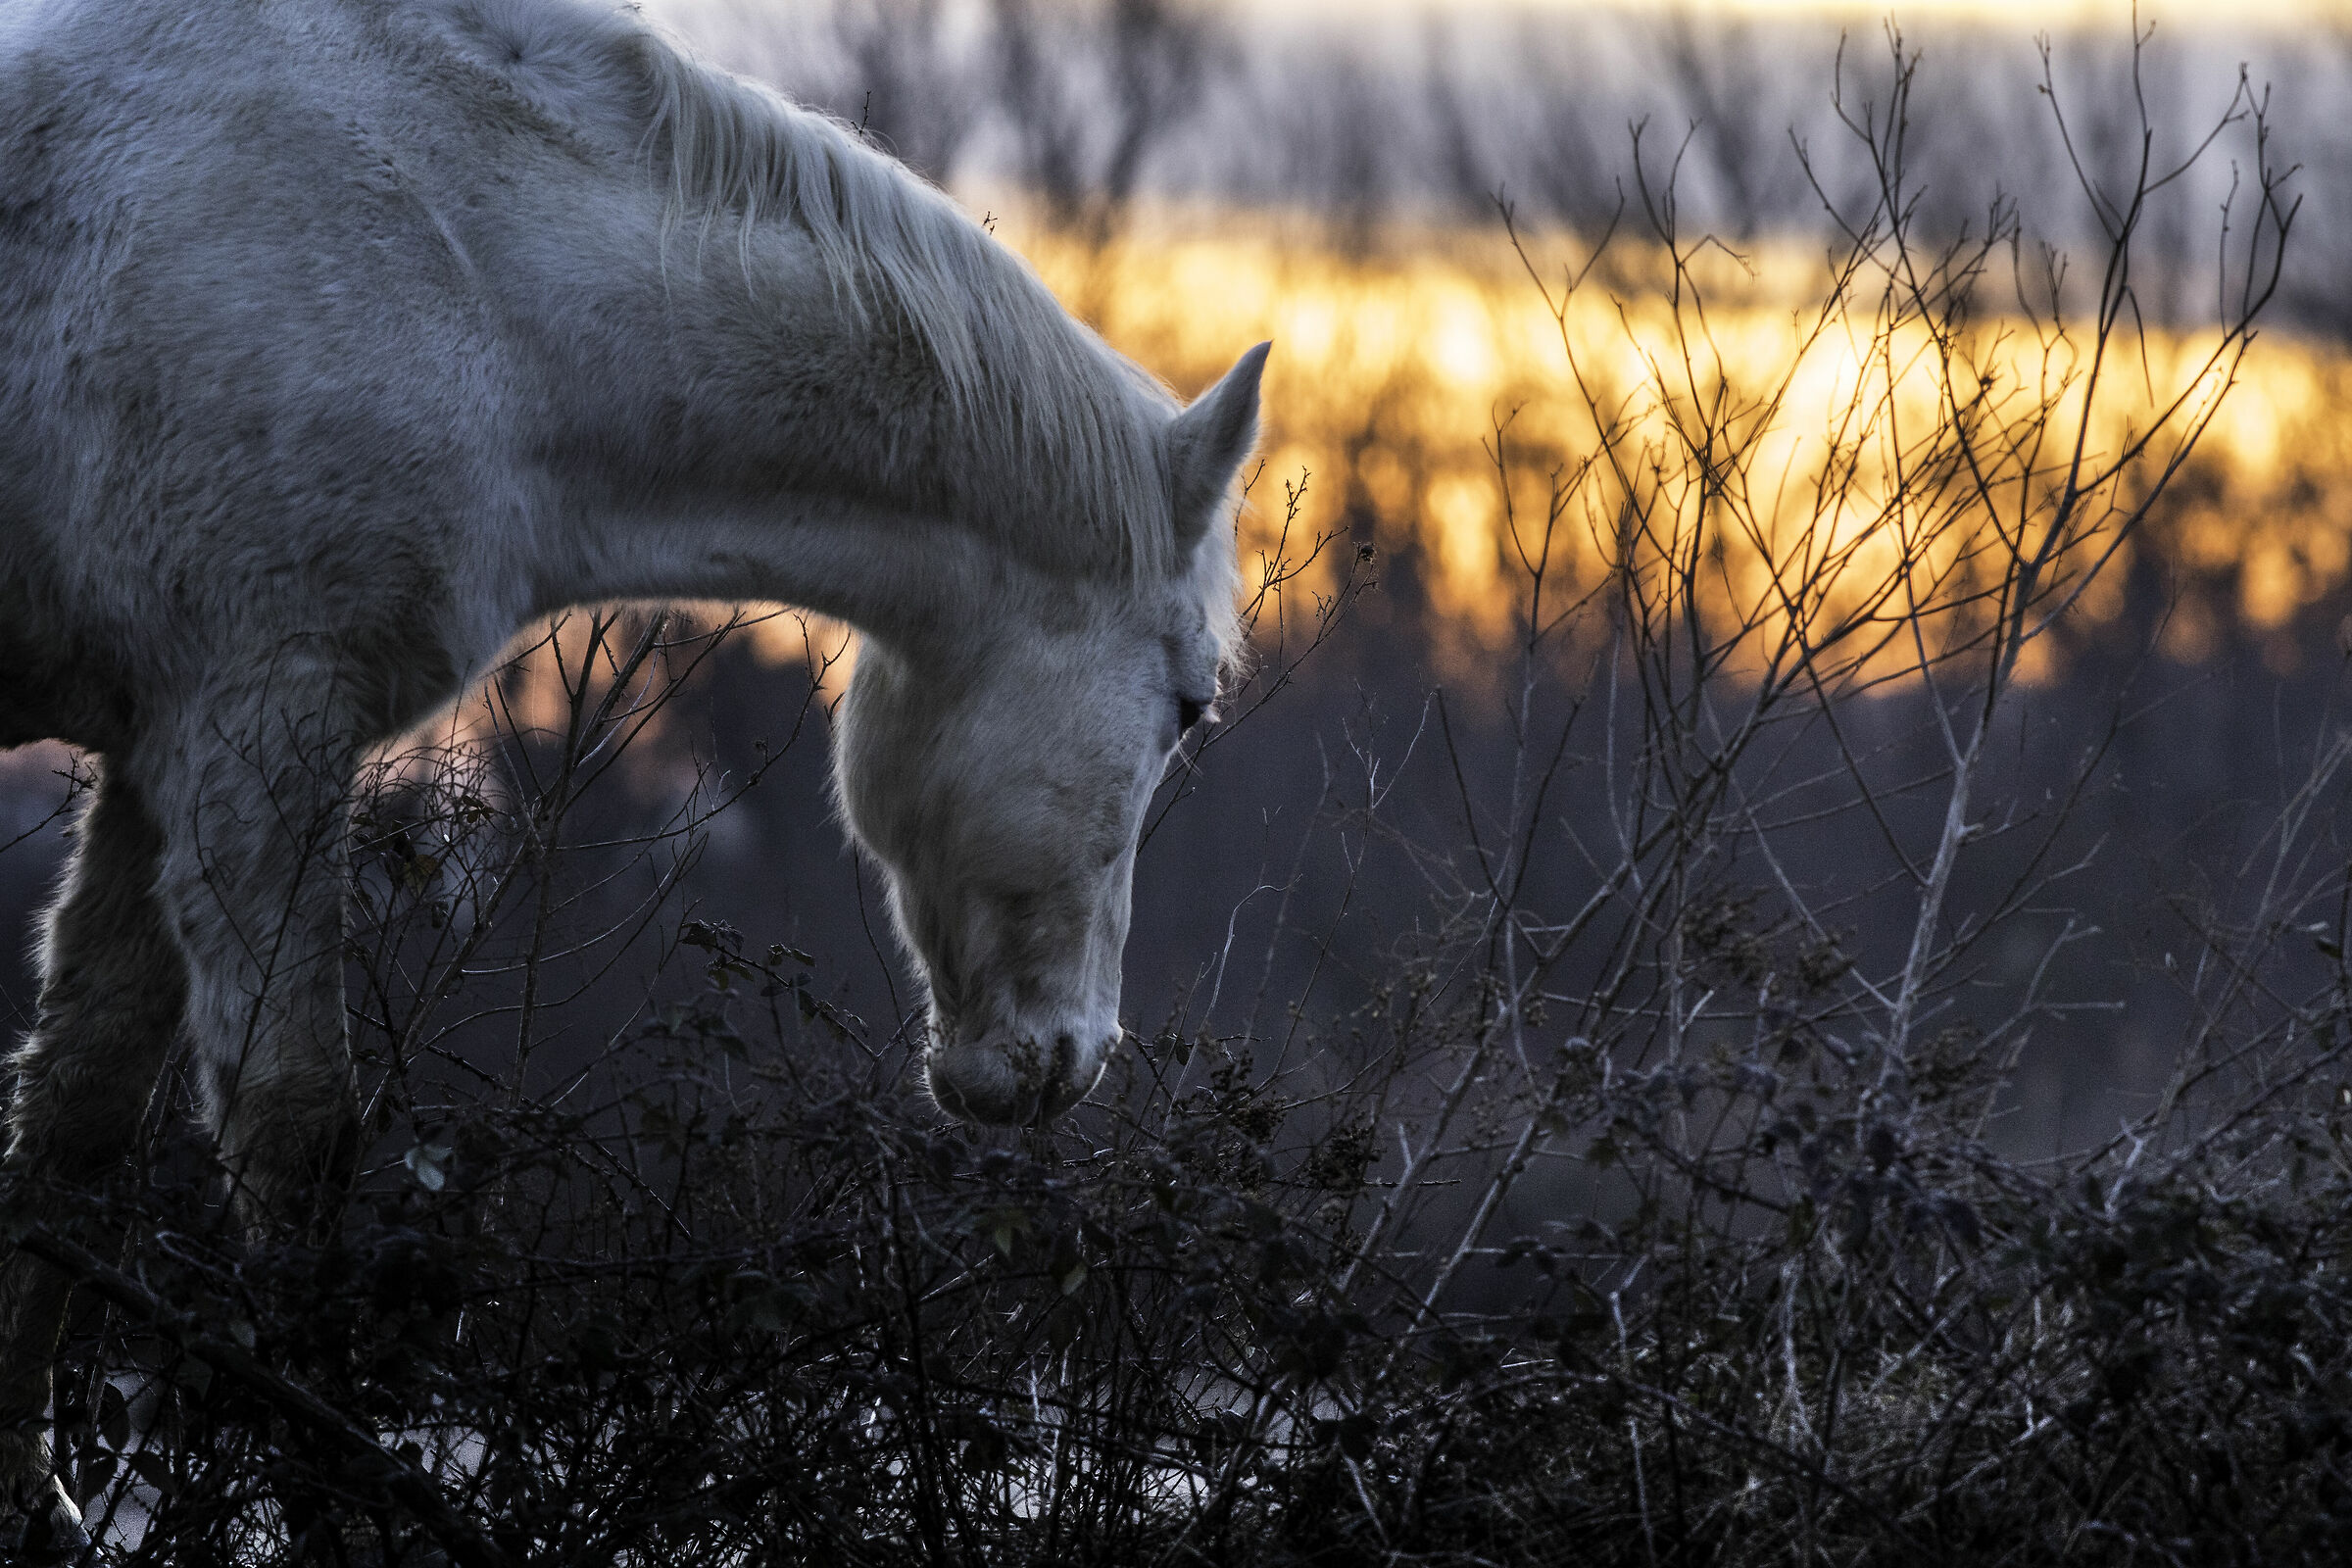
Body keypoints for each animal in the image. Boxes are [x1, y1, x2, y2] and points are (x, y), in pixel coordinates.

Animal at [0, 0, 1265, 1547]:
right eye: (1190, 706)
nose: (1065, 1062)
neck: (468, 280)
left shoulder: (153, 748)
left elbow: (73, 1120)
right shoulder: (259, 723)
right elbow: (295, 1143)